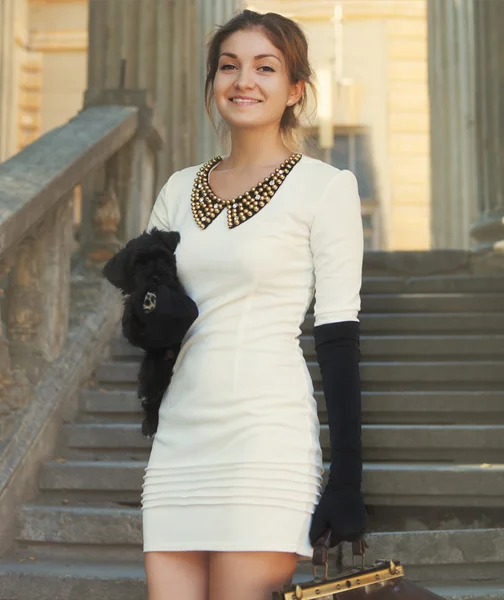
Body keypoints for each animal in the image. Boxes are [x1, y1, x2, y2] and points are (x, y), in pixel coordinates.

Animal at [101, 227, 198, 438]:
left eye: (162, 257)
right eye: (138, 265)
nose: (156, 276)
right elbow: (132, 316)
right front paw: (137, 307)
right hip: (151, 367)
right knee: (151, 395)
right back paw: (149, 422)